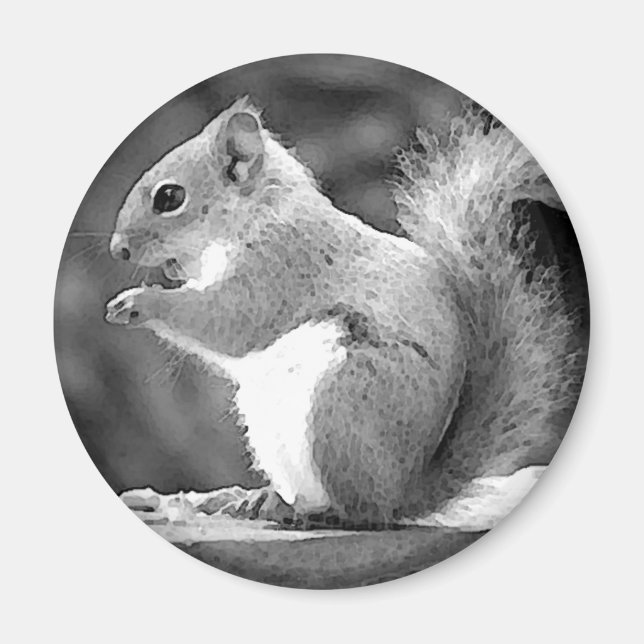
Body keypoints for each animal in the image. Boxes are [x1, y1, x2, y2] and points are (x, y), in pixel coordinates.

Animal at [105, 97, 585, 531]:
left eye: (170, 197)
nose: (118, 249)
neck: (257, 213)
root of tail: (403, 495)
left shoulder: (280, 267)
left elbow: (227, 321)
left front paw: (140, 301)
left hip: (342, 404)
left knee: (360, 512)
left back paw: (311, 512)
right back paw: (250, 499)